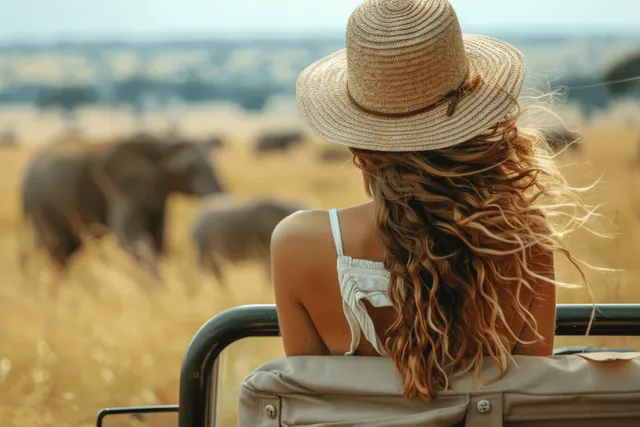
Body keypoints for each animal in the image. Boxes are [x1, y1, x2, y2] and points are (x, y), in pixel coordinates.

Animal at [20, 133, 226, 272]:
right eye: (191, 169)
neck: (161, 143)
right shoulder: (120, 188)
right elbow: (129, 237)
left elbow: (158, 240)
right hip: (41, 203)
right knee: (56, 249)